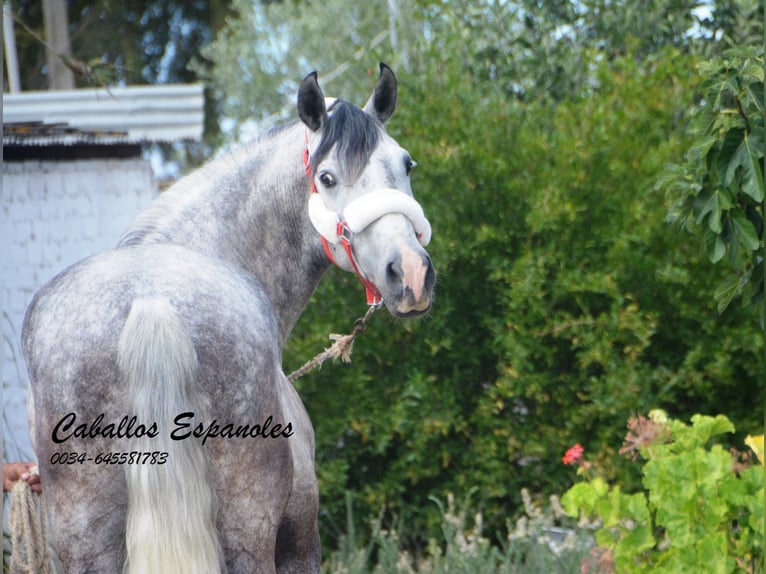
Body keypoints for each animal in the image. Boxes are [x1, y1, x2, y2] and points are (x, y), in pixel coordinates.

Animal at [21, 65, 436, 572]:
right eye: (327, 177)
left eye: (406, 164)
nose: (411, 272)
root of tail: (150, 300)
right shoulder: (301, 542)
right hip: (248, 533)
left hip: (86, 541)